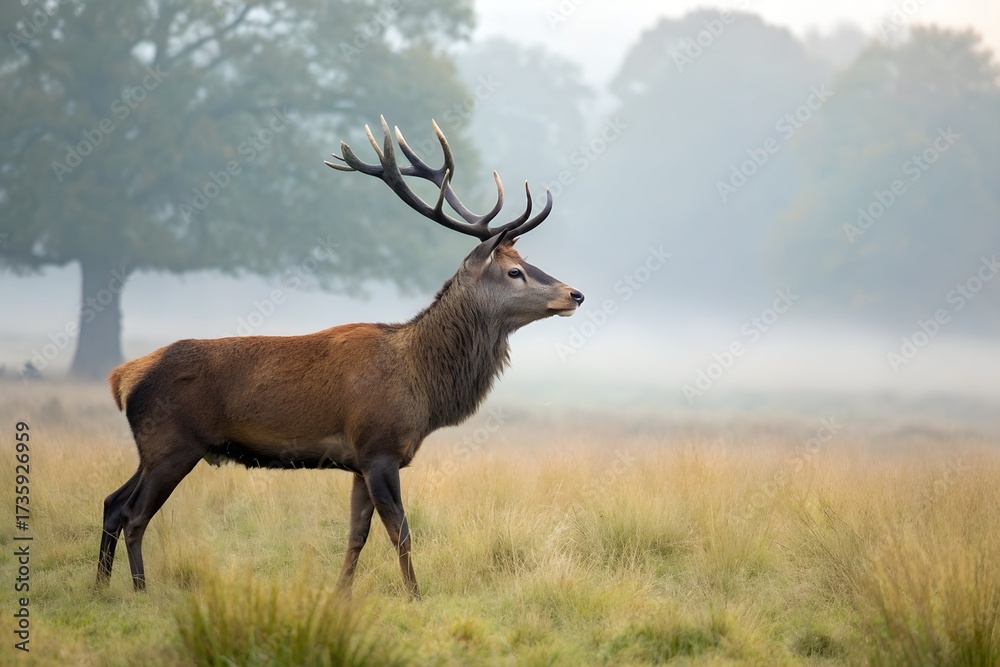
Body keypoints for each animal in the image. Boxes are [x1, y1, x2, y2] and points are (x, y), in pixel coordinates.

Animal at [97, 117, 584, 598]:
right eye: (514, 271)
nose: (575, 294)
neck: (424, 389)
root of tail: (122, 378)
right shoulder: (379, 447)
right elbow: (400, 531)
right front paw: (415, 595)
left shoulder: (359, 461)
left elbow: (357, 533)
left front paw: (341, 594)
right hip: (173, 444)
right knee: (134, 516)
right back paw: (140, 591)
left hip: (152, 449)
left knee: (112, 502)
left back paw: (101, 585)